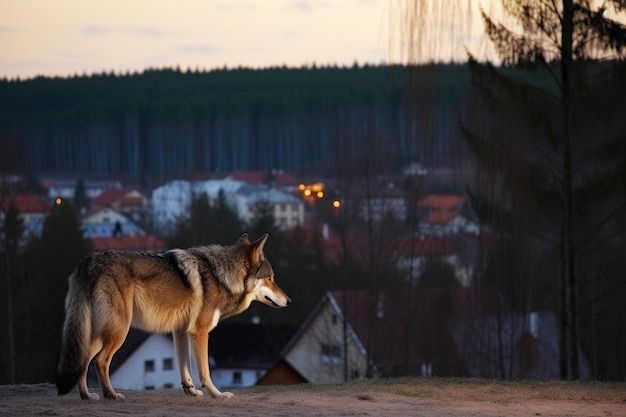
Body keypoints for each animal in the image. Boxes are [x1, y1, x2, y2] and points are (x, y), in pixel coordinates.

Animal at [54, 232, 288, 398]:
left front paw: (191, 391)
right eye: (271, 278)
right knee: (100, 362)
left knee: (83, 361)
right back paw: (111, 395)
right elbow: (205, 371)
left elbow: (184, 367)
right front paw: (218, 395)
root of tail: (88, 262)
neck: (222, 277)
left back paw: (87, 396)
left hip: (96, 334)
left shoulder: (181, 331)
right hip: (118, 332)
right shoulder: (200, 331)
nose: (289, 301)